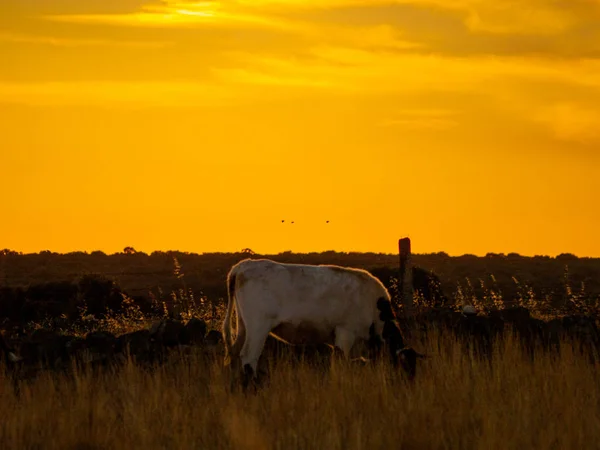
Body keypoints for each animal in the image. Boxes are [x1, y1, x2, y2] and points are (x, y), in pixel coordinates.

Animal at [220, 258, 422, 388]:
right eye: (406, 366)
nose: (410, 386)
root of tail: (242, 265)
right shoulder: (345, 333)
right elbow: (341, 364)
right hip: (258, 327)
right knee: (248, 358)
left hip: (243, 326)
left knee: (235, 354)